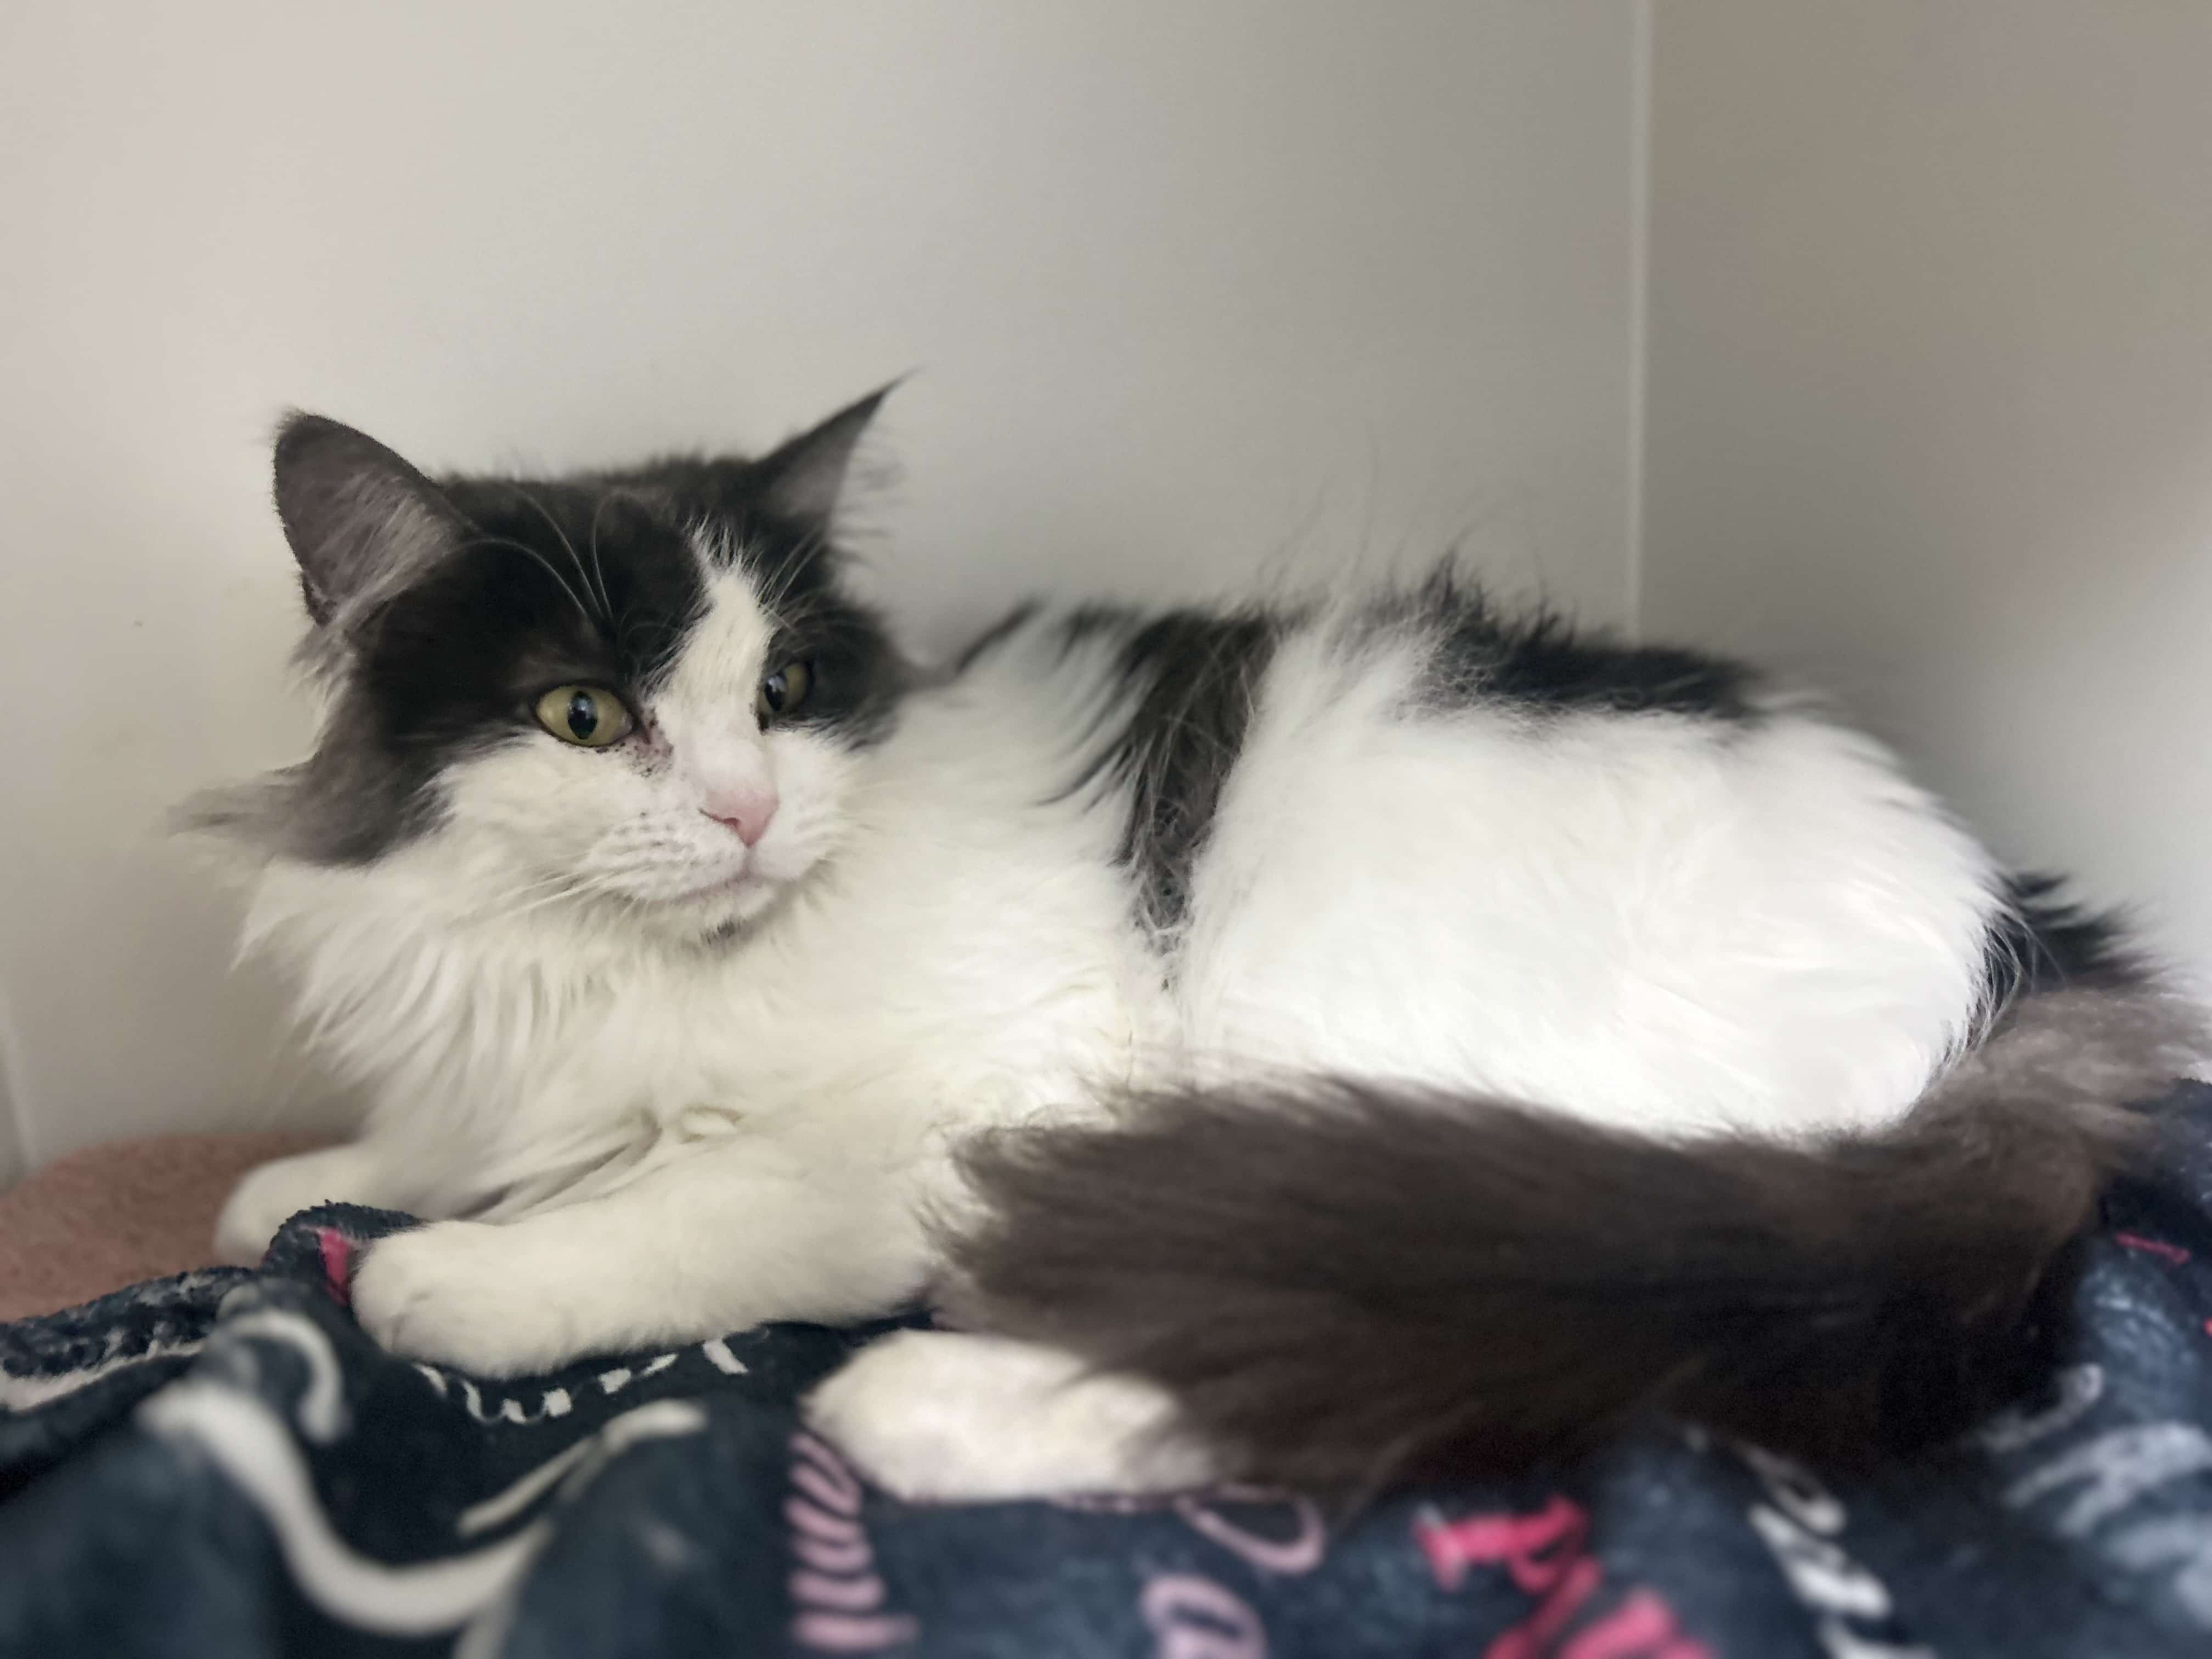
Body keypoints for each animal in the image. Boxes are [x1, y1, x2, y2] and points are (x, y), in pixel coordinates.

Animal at [194, 389, 2204, 1502]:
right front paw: (292, 1188)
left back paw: (915, 1410)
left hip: (1357, 1081)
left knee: (1356, 1342)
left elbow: (664, 1218)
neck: (615, 963)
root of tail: (2021, 933)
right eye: (586, 715)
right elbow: (414, 1145)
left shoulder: (959, 1109)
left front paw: (450, 1278)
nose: (752, 813)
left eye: (783, 691)